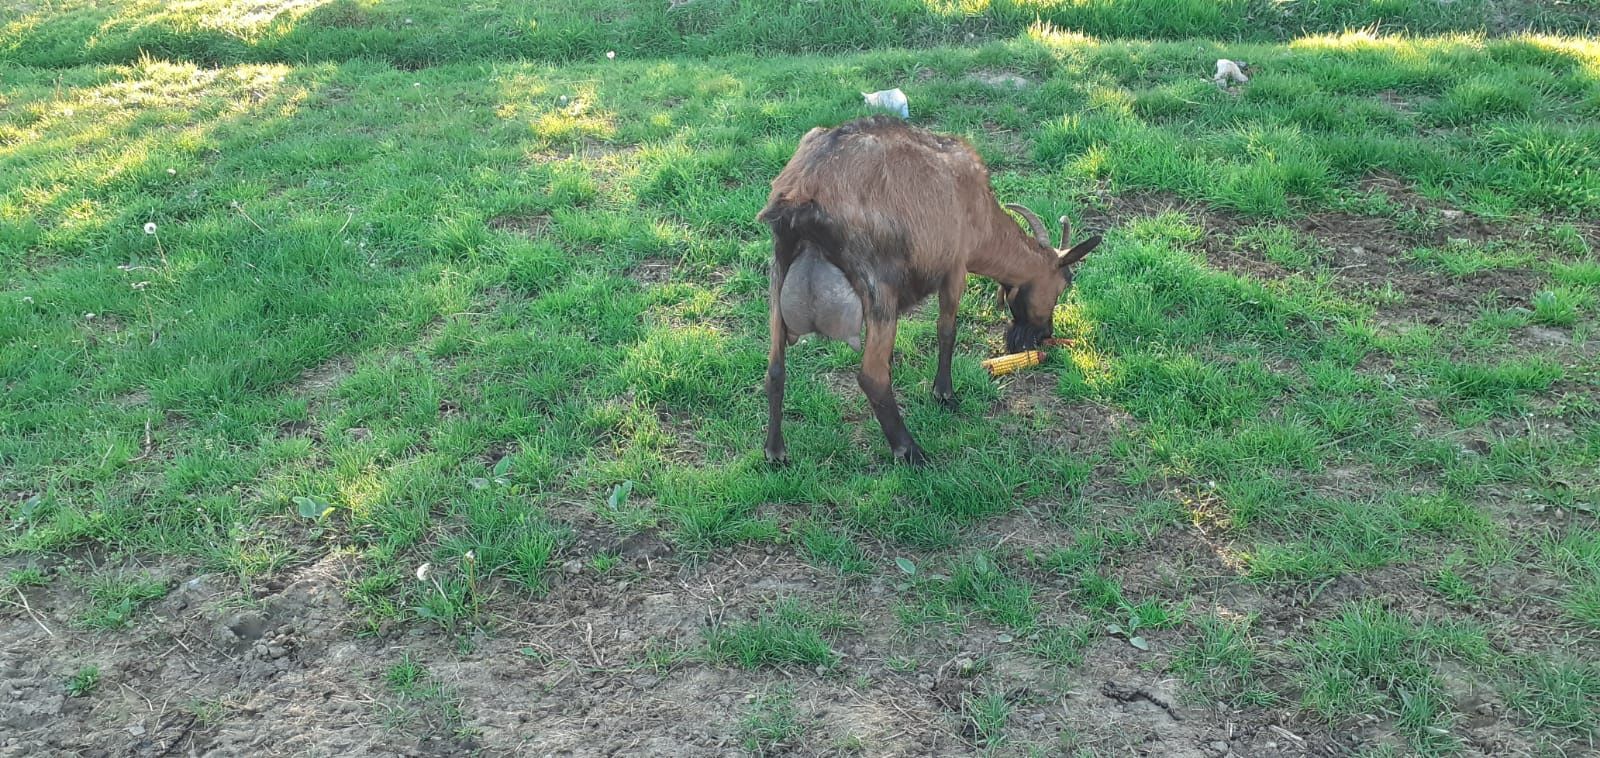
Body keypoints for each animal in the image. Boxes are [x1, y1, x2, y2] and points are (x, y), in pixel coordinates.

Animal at [758, 115, 1100, 463]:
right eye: (1062, 286)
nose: (1044, 334)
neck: (979, 208)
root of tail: (800, 195)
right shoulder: (955, 268)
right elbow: (946, 331)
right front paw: (944, 393)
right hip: (879, 288)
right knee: (872, 375)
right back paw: (910, 450)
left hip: (778, 273)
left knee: (775, 368)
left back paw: (775, 451)